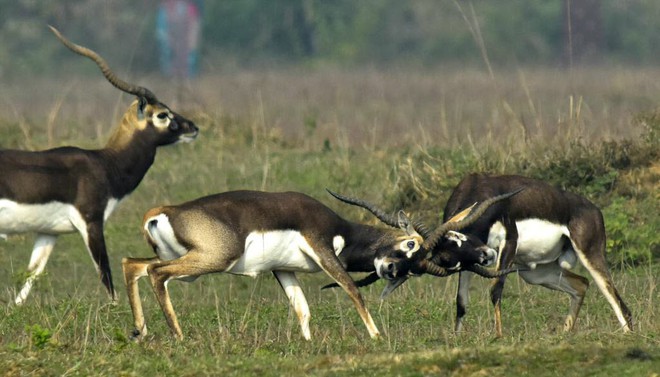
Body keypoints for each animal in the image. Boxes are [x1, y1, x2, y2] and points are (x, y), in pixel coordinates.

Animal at [1, 25, 200, 306]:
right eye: (163, 114)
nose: (193, 128)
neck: (105, 164)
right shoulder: (92, 223)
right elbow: (106, 276)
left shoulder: (49, 232)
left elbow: (32, 274)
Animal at [121, 189, 510, 340]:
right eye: (410, 244)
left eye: (415, 269)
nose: (390, 270)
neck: (343, 230)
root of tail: (163, 211)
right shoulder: (323, 248)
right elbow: (352, 290)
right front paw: (376, 335)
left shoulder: (284, 269)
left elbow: (302, 309)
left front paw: (306, 343)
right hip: (208, 260)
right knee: (155, 273)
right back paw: (177, 334)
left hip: (179, 258)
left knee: (132, 264)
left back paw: (140, 331)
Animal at [430, 173, 632, 334]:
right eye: (456, 262)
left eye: (458, 238)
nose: (487, 256)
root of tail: (595, 210)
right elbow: (461, 301)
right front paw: (457, 337)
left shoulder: (509, 242)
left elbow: (496, 290)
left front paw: (498, 336)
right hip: (536, 273)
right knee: (582, 284)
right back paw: (564, 334)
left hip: (589, 254)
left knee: (617, 300)